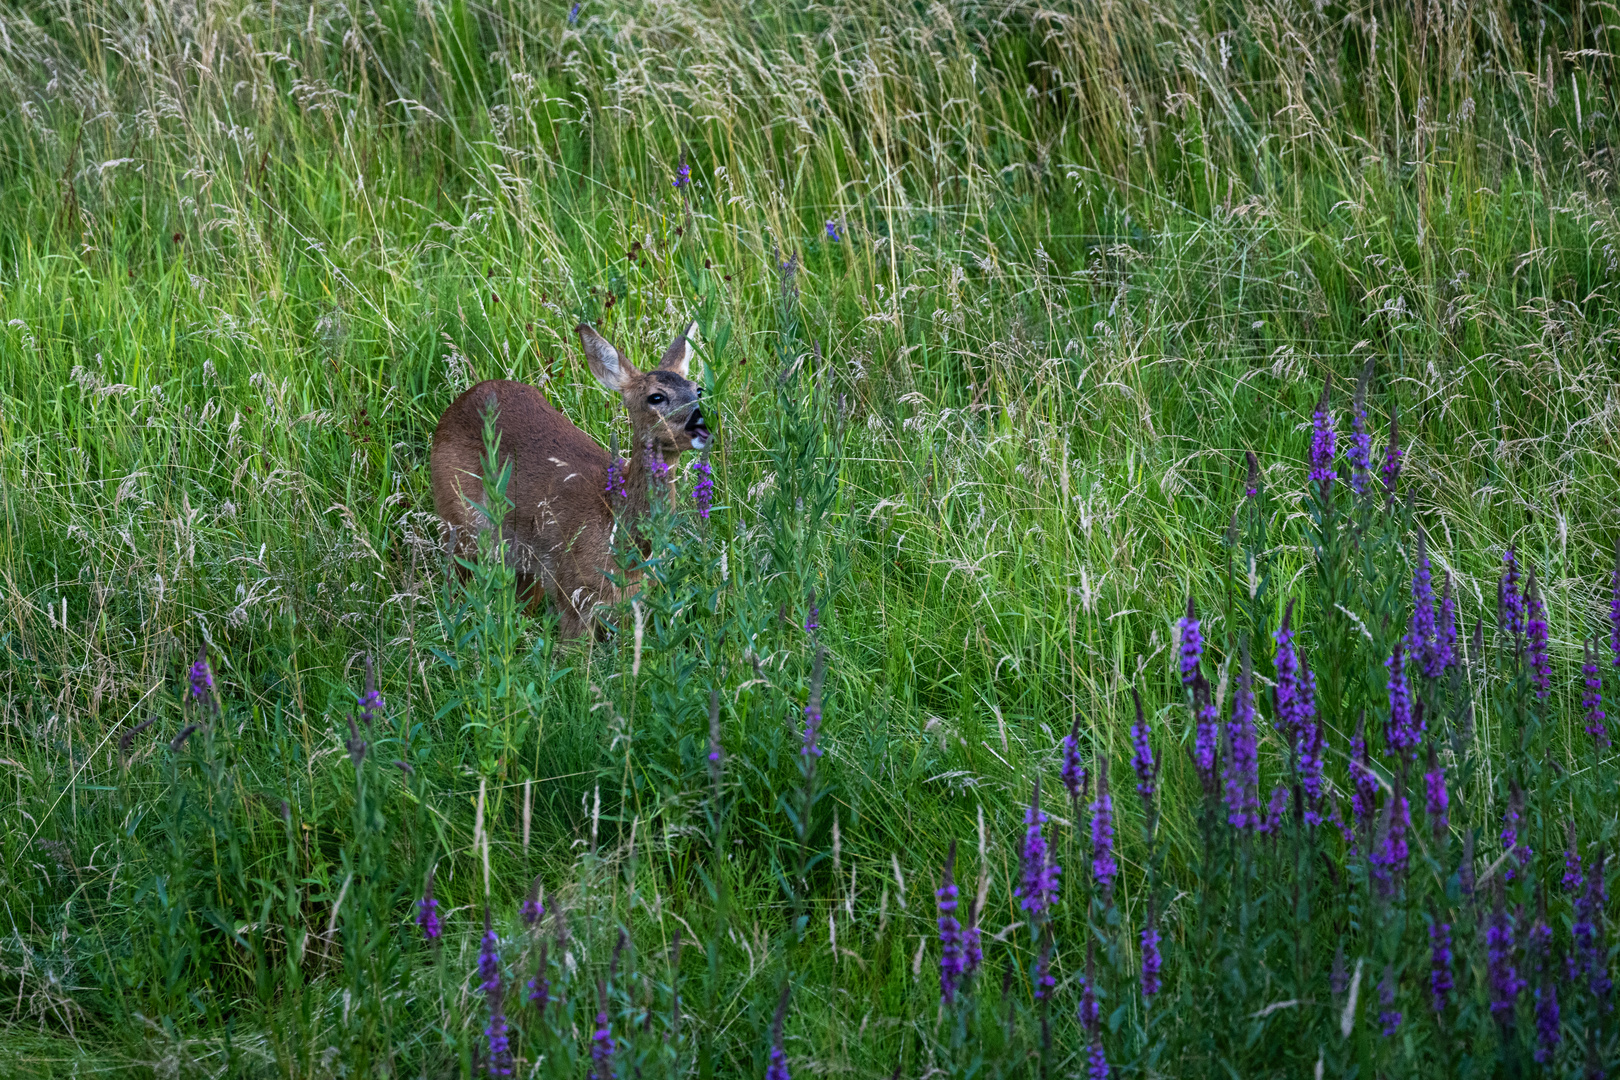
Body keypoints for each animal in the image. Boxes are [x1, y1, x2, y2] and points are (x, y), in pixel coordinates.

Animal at [430, 320, 709, 641]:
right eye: (656, 397)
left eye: (698, 389)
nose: (703, 421)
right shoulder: (573, 594)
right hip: (458, 520)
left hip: (525, 562)